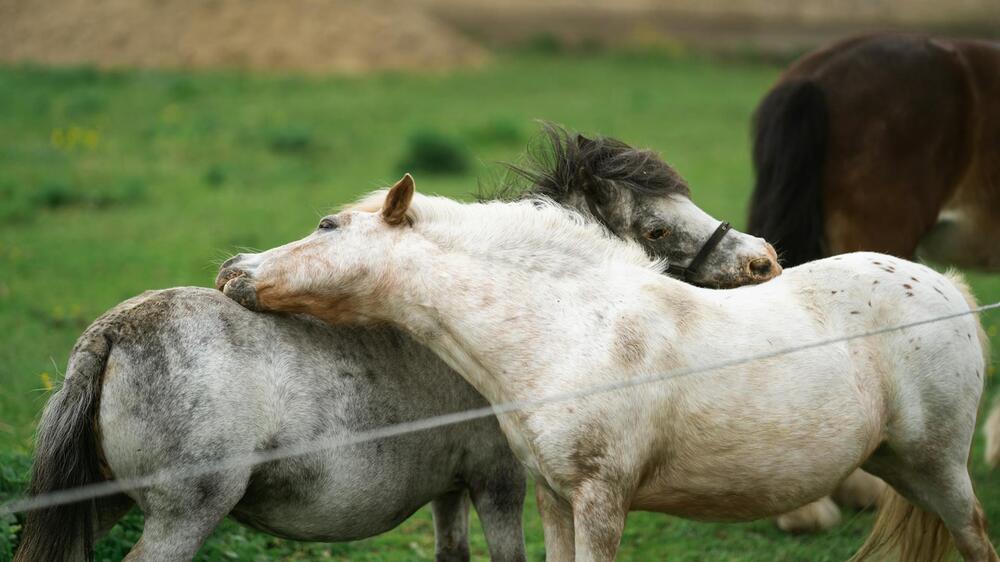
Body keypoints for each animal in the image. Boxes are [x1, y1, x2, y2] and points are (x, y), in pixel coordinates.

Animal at [217, 176, 992, 560]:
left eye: (328, 226)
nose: (232, 269)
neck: (569, 327)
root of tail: (946, 286)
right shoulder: (554, 498)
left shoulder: (601, 503)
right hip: (901, 467)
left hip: (940, 469)